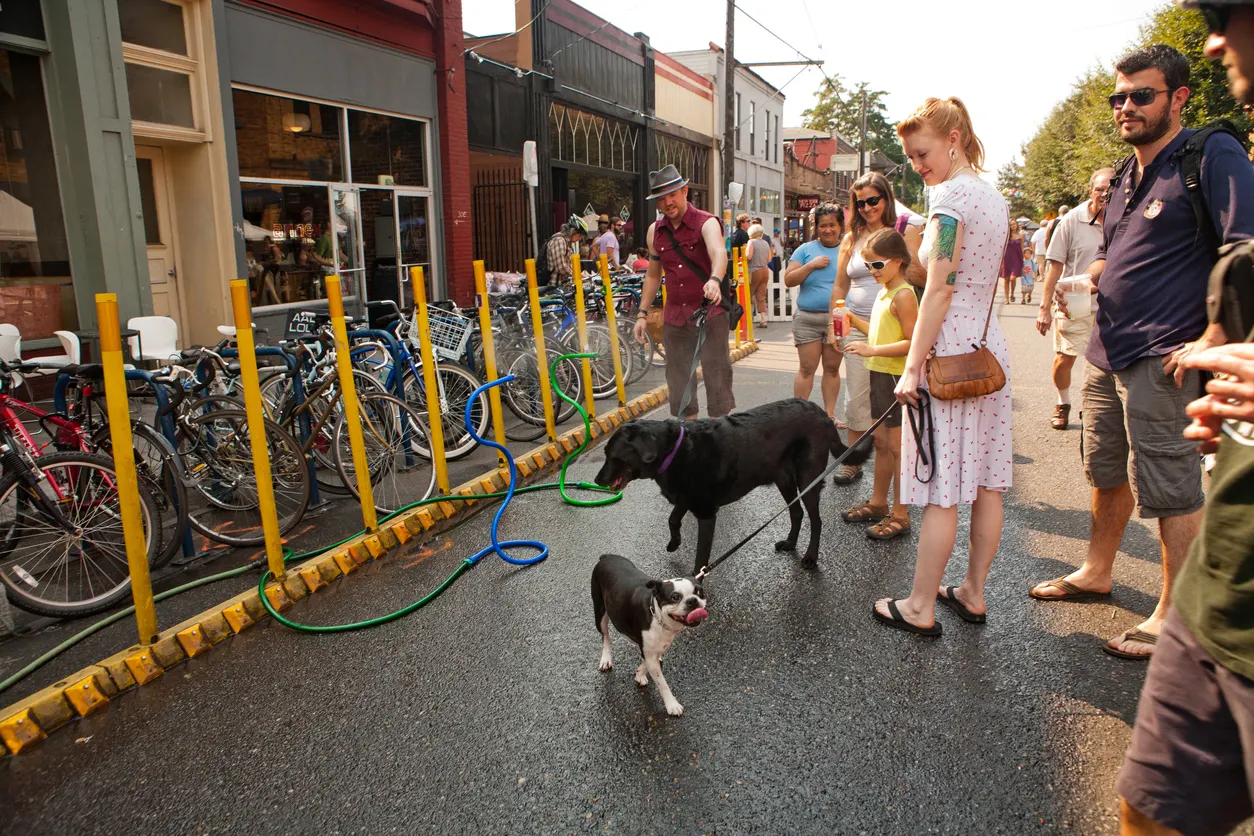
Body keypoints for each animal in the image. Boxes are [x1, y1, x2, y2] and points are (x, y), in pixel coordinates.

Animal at [591, 401, 867, 576]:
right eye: (605, 454)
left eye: (612, 456)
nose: (597, 480)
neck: (675, 451)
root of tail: (821, 413)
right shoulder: (686, 499)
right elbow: (672, 518)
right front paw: (674, 542)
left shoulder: (706, 513)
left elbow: (701, 556)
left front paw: (695, 583)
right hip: (784, 480)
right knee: (796, 512)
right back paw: (790, 543)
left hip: (807, 479)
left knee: (815, 520)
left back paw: (810, 556)